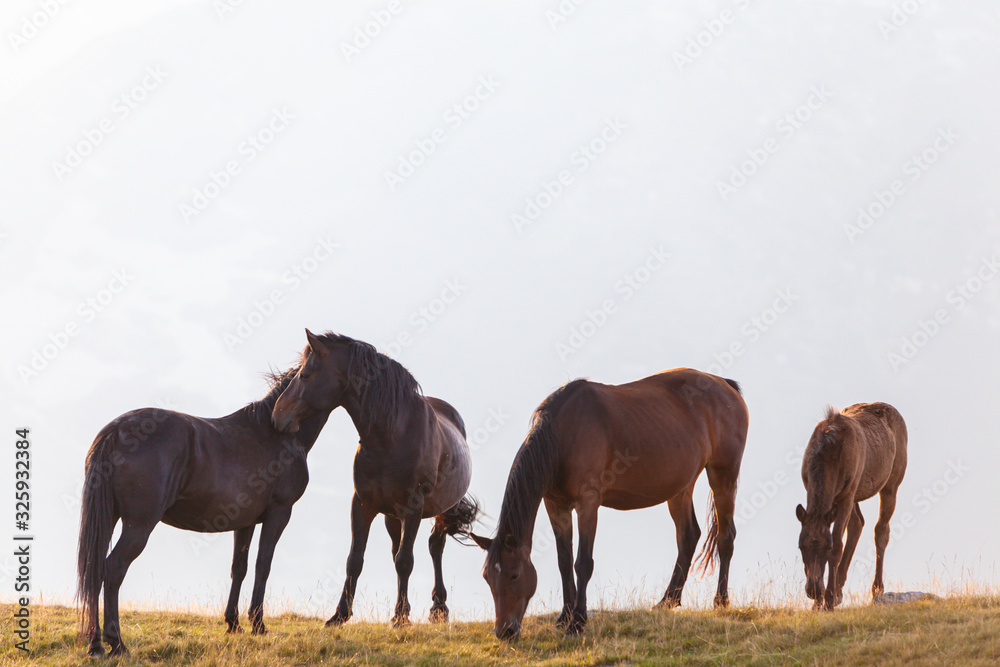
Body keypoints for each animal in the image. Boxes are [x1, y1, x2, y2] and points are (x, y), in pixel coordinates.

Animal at [76, 361, 332, 656]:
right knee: (114, 569)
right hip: (138, 524)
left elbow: (239, 568)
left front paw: (233, 624)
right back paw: (116, 643)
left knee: (95, 569)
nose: (283, 418)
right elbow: (263, 566)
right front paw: (258, 625)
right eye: (306, 374)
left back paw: (95, 644)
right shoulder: (279, 513)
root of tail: (116, 431)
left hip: (109, 518)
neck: (274, 434)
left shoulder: (245, 522)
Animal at [271, 329, 478, 627]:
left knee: (434, 546)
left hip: (439, 509)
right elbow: (356, 560)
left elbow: (405, 560)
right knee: (398, 550)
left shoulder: (413, 507)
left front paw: (400, 619)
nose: (278, 416)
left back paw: (438, 607)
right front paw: (340, 615)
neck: (391, 437)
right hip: (392, 515)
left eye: (306, 375)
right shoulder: (362, 504)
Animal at [470, 368, 749, 640]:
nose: (505, 631)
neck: (563, 434)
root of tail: (725, 385)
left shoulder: (588, 504)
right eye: (487, 577)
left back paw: (720, 601)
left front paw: (577, 622)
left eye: (514, 575)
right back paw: (668, 601)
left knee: (726, 536)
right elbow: (564, 561)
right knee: (688, 536)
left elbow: (582, 562)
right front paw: (565, 617)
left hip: (723, 475)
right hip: (680, 487)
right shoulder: (556, 506)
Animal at [795, 402, 907, 610]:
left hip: (890, 484)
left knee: (881, 530)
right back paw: (840, 591)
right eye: (801, 546)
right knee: (858, 523)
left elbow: (838, 544)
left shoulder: (846, 497)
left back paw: (876, 590)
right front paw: (818, 604)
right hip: (855, 493)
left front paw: (828, 600)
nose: (813, 590)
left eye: (827, 548)